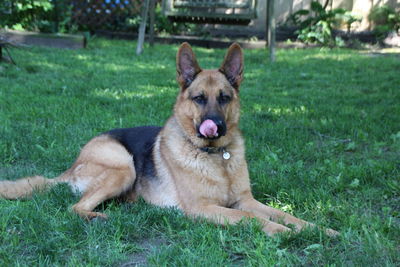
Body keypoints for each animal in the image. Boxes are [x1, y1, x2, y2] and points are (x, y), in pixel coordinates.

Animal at [0, 43, 338, 237]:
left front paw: (317, 229)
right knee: (74, 207)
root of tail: (73, 166)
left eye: (225, 98)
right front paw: (280, 232)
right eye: (199, 99)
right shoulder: (204, 208)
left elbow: (285, 213)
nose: (215, 126)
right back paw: (97, 217)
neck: (216, 158)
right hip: (123, 166)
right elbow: (247, 218)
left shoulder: (246, 199)